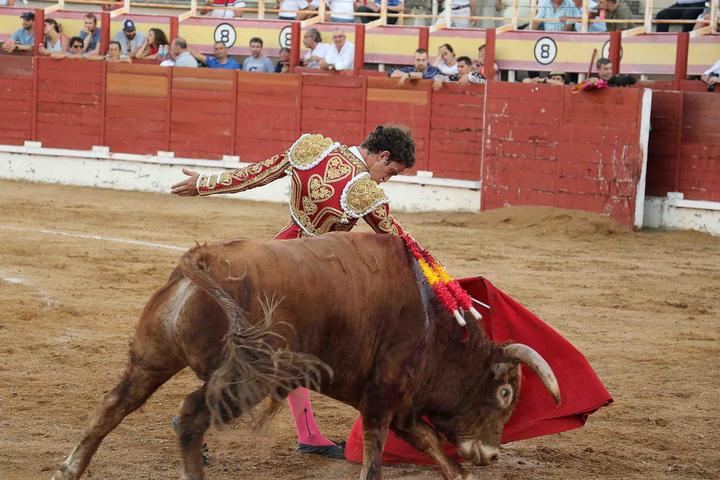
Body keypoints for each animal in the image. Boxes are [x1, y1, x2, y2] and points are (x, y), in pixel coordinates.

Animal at [52, 232, 564, 480]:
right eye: (504, 393)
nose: (492, 454)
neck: (431, 322)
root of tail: (202, 261)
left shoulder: (402, 406)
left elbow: (433, 448)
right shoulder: (383, 396)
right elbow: (376, 458)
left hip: (151, 359)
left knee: (114, 405)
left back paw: (69, 470)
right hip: (246, 381)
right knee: (191, 417)